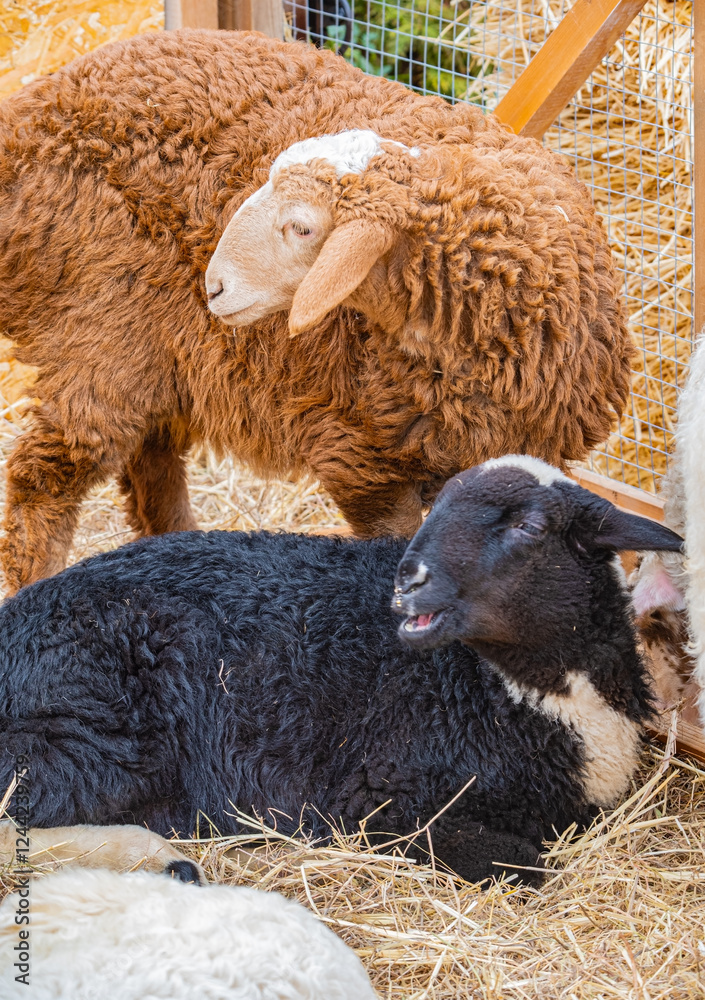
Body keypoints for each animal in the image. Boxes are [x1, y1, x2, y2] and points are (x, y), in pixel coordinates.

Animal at [0, 27, 631, 593]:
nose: (213, 288)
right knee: (44, 480)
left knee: (150, 465)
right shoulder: (363, 462)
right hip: (105, 326)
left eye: (302, 227)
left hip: (160, 351)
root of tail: (36, 107)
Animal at [0, 456, 682, 887]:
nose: (409, 576)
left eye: (529, 525)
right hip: (91, 731)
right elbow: (528, 867)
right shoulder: (388, 804)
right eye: (435, 507)